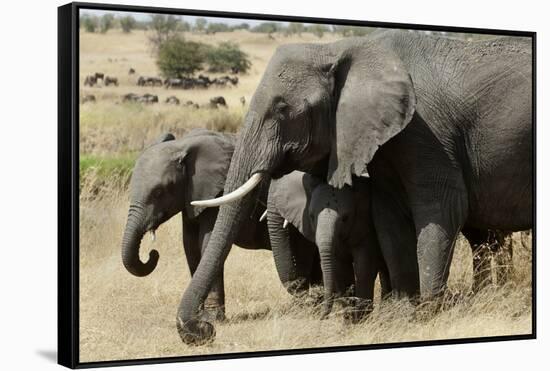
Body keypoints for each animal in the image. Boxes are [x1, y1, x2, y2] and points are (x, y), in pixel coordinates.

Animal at [121, 129, 322, 322]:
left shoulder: (218, 192)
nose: (153, 253)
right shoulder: (191, 195)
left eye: (159, 192)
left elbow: (206, 244)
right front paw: (200, 315)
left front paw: (212, 318)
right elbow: (190, 246)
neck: (182, 144)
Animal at [180, 30, 536, 344]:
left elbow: (442, 209)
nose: (203, 330)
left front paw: (429, 313)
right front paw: (401, 315)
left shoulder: (428, 132)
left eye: (283, 109)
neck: (340, 48)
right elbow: (389, 220)